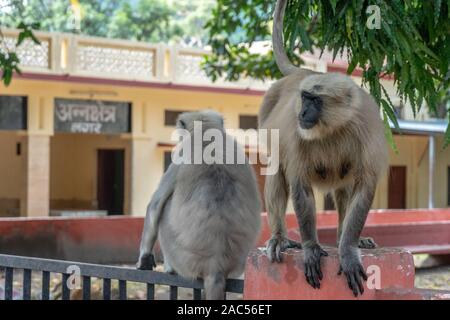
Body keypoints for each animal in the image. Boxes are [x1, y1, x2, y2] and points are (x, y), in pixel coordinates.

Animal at [135, 110, 260, 300]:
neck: (207, 131)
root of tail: (216, 266)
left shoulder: (181, 154)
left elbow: (155, 206)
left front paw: (143, 259)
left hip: (183, 258)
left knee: (164, 210)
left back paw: (170, 268)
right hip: (238, 264)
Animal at [260, 0, 390, 298]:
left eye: (315, 101)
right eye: (305, 98)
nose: (303, 111)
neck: (333, 126)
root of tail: (304, 72)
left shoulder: (368, 129)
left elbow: (363, 186)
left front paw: (348, 250)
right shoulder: (297, 134)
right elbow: (300, 187)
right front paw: (311, 248)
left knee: (345, 186)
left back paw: (345, 236)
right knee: (277, 169)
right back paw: (279, 238)